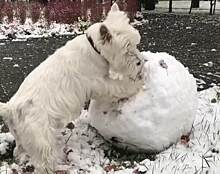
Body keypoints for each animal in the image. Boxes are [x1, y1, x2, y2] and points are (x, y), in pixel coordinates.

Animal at [0, 3, 144, 173]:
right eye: (127, 49)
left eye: (135, 43)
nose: (140, 62)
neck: (94, 48)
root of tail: (10, 109)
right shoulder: (99, 83)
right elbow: (118, 87)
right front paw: (137, 83)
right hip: (41, 140)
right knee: (43, 163)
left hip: (24, 137)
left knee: (20, 150)